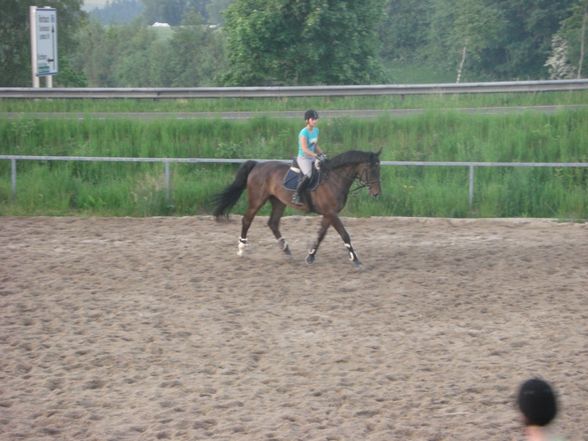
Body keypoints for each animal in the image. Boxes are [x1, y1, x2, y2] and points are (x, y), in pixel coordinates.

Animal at [211, 150, 382, 266]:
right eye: (371, 170)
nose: (377, 193)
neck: (334, 179)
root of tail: (257, 165)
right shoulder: (331, 213)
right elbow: (345, 235)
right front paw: (355, 259)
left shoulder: (328, 214)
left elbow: (320, 235)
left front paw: (310, 256)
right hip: (257, 199)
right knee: (247, 219)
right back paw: (241, 249)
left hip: (278, 201)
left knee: (273, 223)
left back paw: (286, 249)